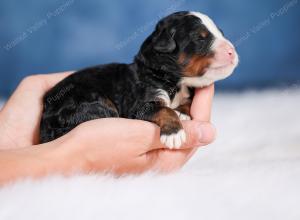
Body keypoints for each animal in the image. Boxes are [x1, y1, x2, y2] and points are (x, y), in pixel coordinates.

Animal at [39, 10, 239, 148]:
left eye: (221, 33)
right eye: (200, 38)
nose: (232, 51)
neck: (174, 80)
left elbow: (185, 102)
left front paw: (182, 112)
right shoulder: (139, 104)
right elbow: (165, 109)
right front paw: (174, 133)